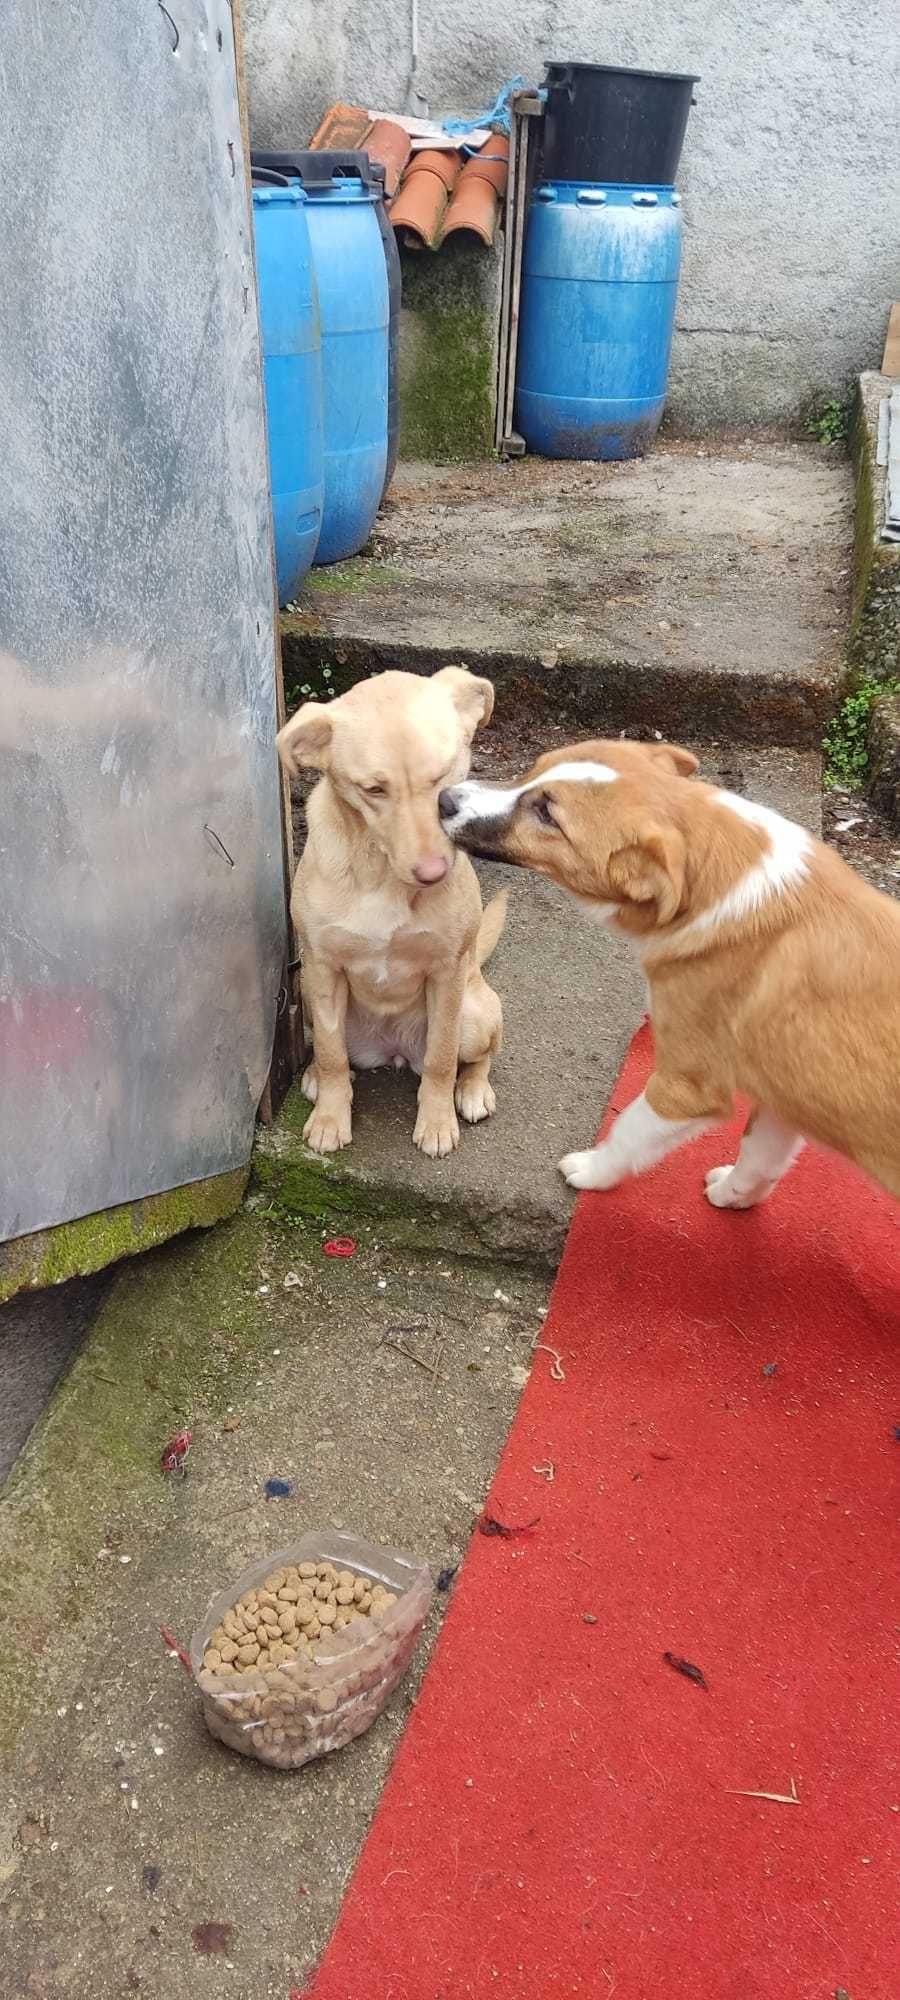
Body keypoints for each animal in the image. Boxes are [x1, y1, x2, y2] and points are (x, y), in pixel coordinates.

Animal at [278, 668, 502, 1160]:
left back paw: (473, 1090)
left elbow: (441, 1058)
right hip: (307, 997)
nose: (433, 873)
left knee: (479, 1055)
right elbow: (330, 1053)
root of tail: (394, 1051)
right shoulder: (323, 968)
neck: (380, 873)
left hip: (476, 1013)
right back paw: (314, 1078)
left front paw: (436, 1122)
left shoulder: (447, 973)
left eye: (443, 776)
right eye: (374, 790)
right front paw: (330, 1117)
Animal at [442, 736, 900, 1200]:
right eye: (534, 768)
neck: (719, 882)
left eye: (547, 814)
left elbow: (629, 1130)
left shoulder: (687, 1085)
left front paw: (593, 1170)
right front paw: (732, 1196)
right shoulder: (785, 1098)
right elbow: (760, 1155)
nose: (444, 800)